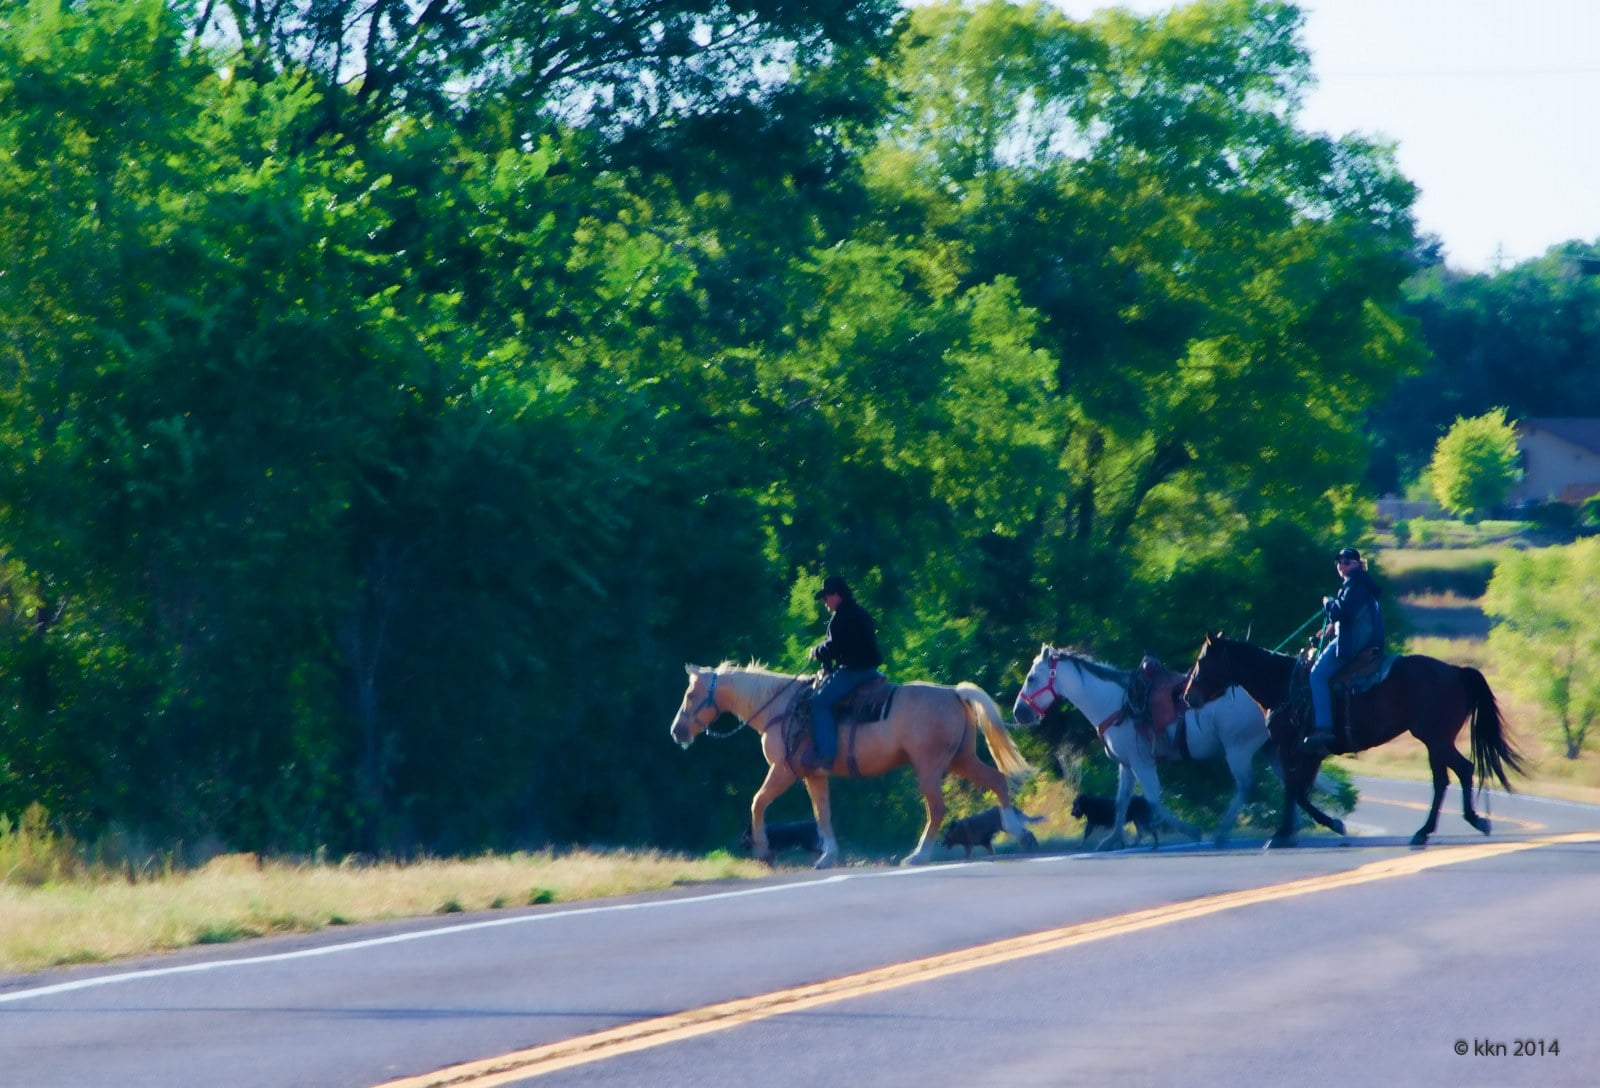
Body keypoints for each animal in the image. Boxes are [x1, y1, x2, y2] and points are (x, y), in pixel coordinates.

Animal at [665, 662, 1030, 864]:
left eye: (690, 695)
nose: (676, 730)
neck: (779, 708)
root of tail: (953, 692)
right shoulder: (813, 776)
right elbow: (822, 813)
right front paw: (828, 856)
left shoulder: (783, 771)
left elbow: (758, 802)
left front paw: (763, 849)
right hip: (961, 759)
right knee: (997, 780)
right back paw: (1016, 830)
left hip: (929, 768)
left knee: (937, 809)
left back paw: (918, 855)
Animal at [1011, 646, 1273, 851]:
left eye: (1031, 678)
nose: (1018, 712)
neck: (1116, 705)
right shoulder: (1126, 765)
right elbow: (1121, 801)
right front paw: (1112, 840)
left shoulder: (1142, 764)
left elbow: (1153, 800)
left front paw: (1190, 831)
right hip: (1264, 747)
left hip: (1238, 748)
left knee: (1245, 785)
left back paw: (1222, 832)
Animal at [1184, 630, 1529, 851]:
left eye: (1202, 662)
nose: (1188, 697)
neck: (1281, 684)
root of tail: (1456, 671)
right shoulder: (1309, 753)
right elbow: (1300, 792)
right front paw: (1312, 828)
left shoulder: (1291, 748)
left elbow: (1294, 791)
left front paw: (1285, 833)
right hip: (1435, 741)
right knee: (1449, 777)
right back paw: (1439, 828)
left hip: (1436, 738)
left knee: (1458, 772)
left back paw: (1454, 825)